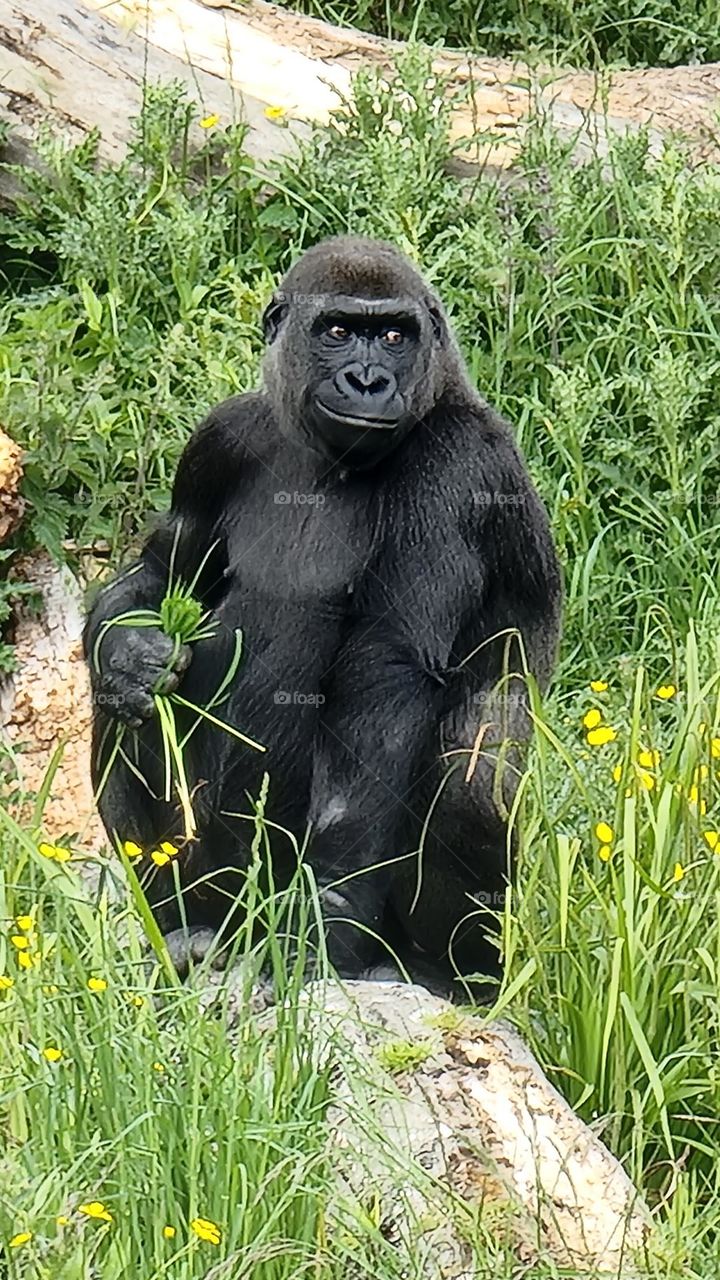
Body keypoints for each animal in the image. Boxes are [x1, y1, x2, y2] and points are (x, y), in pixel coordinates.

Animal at [81, 235, 558, 993]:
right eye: (338, 330)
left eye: (394, 336)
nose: (368, 380)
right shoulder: (221, 439)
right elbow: (161, 573)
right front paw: (130, 656)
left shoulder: (458, 466)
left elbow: (387, 669)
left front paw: (325, 922)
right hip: (228, 892)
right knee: (122, 714)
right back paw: (179, 926)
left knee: (472, 768)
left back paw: (439, 972)